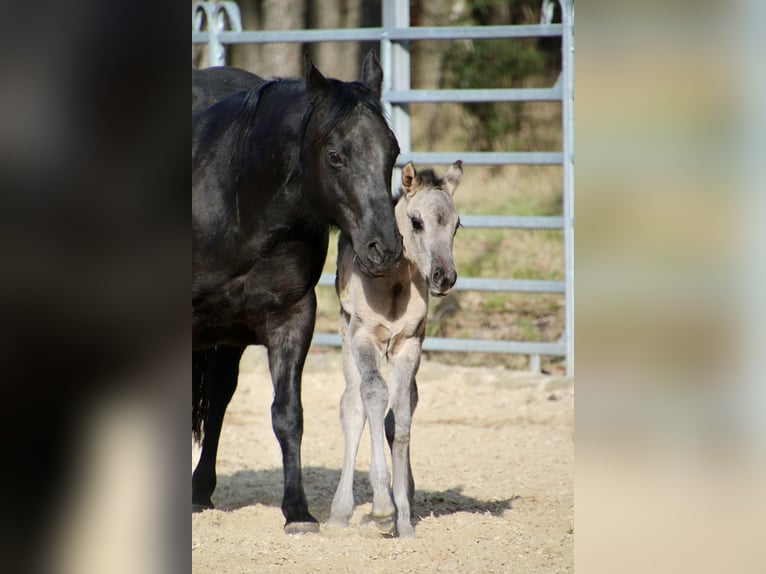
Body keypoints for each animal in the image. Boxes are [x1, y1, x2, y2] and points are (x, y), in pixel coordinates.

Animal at [192, 51, 403, 534]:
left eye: (394, 151)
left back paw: (199, 489)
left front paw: (297, 511)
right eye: (335, 155)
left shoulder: (292, 316)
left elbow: (288, 414)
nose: (384, 249)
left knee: (218, 399)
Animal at [328, 160, 463, 538]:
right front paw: (382, 507)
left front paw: (402, 516)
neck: (394, 284)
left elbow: (401, 416)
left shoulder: (408, 346)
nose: (444, 277)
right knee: (352, 406)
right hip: (347, 338)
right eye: (417, 221)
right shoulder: (364, 339)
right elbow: (373, 395)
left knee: (400, 409)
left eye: (457, 224)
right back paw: (340, 511)